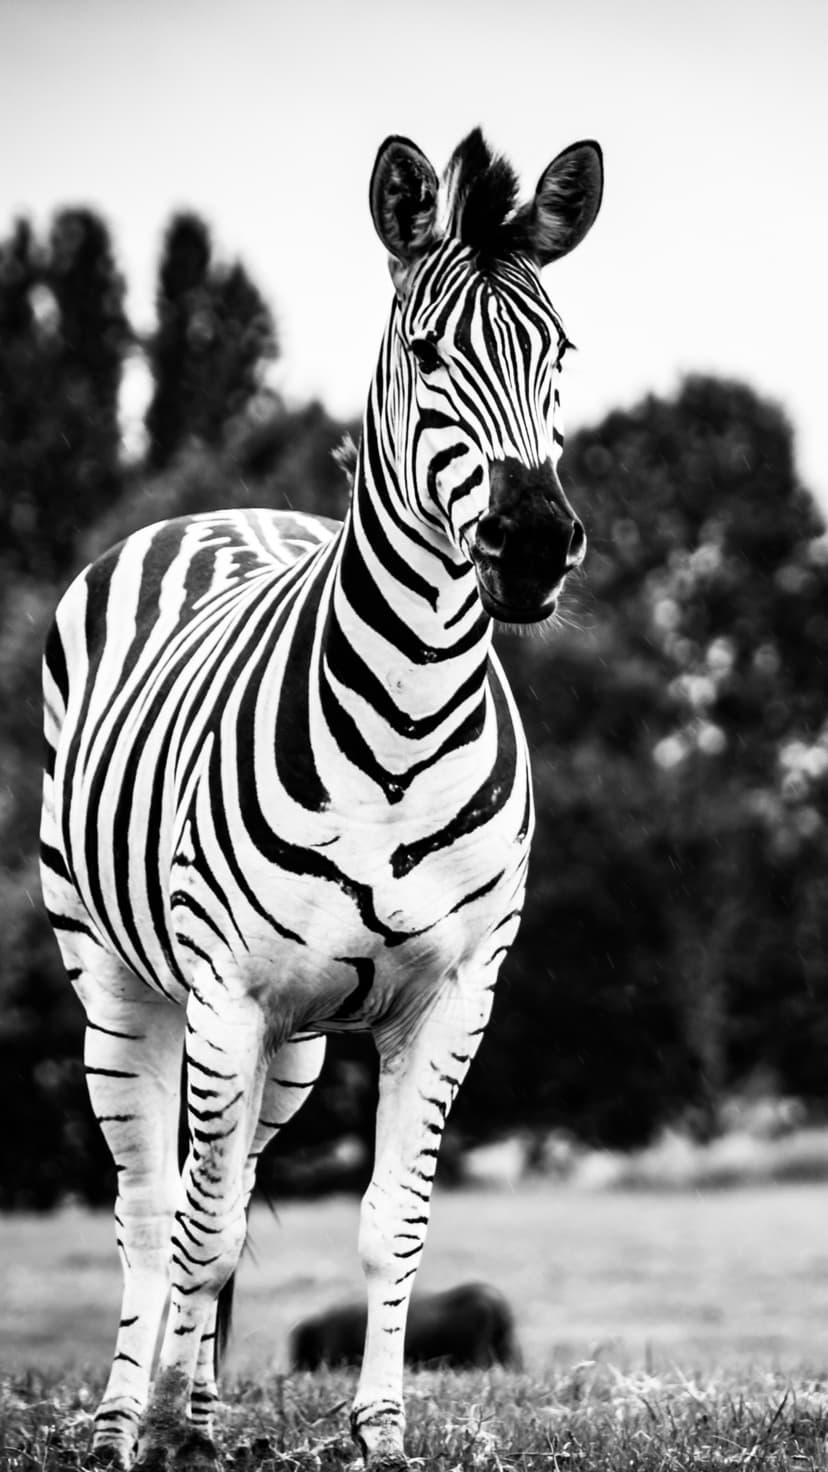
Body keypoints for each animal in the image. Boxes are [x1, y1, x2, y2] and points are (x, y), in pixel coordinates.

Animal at [40, 127, 602, 1470]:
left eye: (559, 352)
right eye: (428, 352)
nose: (533, 544)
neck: (402, 717)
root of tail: (225, 510)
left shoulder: (454, 995)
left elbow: (386, 1221)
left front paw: (380, 1427)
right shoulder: (226, 990)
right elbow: (191, 1226)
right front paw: (163, 1431)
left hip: (290, 1042)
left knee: (231, 1188)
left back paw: (195, 1403)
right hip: (119, 981)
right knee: (153, 1205)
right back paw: (125, 1416)